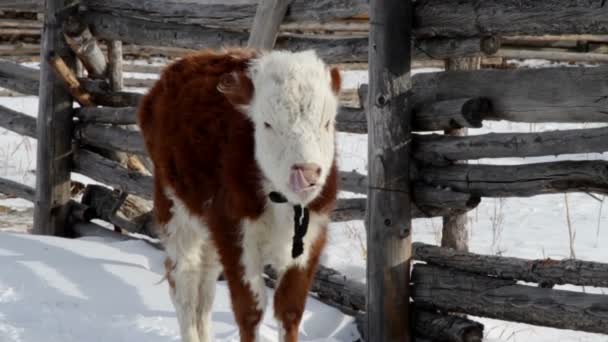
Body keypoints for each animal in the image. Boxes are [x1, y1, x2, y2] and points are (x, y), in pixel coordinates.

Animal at [138, 48, 342, 342]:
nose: (307, 172)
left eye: (327, 123)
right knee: (184, 282)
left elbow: (290, 310)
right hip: (174, 208)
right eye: (267, 124)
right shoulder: (234, 234)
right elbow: (250, 310)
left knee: (205, 286)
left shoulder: (312, 237)